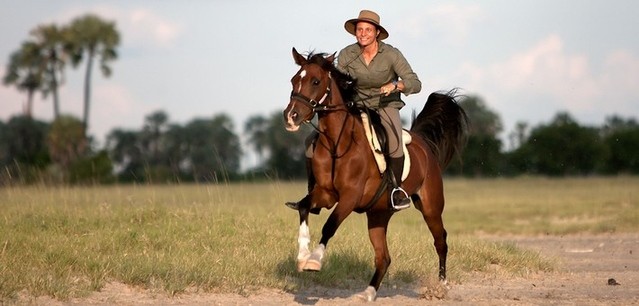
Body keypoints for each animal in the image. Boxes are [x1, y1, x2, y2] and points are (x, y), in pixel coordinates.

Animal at [282, 48, 468, 302]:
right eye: (293, 80)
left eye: (316, 81)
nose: (291, 116)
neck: (337, 143)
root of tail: (424, 144)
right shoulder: (325, 194)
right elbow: (303, 208)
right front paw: (302, 257)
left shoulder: (349, 197)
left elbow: (329, 226)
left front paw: (314, 260)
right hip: (378, 215)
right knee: (384, 257)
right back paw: (368, 294)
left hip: (430, 207)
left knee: (441, 241)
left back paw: (441, 287)